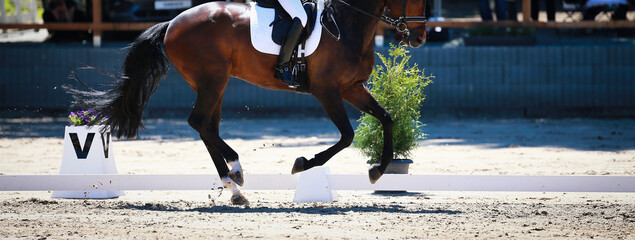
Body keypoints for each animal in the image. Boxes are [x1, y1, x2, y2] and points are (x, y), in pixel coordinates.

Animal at [69, 0, 428, 205]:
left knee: (207, 126)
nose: (420, 38)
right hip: (212, 78)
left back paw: (234, 186)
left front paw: (378, 170)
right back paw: (236, 174)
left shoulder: (352, 87)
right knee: (200, 123)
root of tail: (172, 22)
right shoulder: (327, 90)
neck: (347, 24)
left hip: (215, 81)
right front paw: (303, 163)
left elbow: (386, 118)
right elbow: (347, 136)